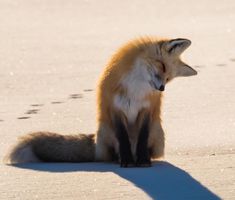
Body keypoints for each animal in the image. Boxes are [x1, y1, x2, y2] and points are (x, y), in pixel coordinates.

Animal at [4, 36, 197, 167]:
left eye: (169, 78)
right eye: (162, 67)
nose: (161, 88)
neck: (136, 88)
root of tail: (95, 142)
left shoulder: (147, 109)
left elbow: (142, 137)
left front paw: (143, 161)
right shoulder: (115, 108)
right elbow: (122, 137)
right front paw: (126, 162)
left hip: (158, 132)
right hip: (105, 130)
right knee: (111, 154)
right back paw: (120, 159)